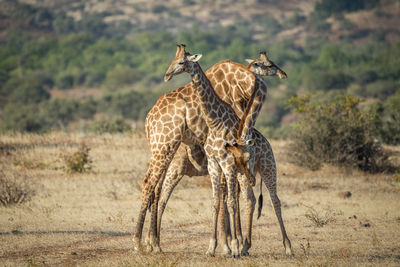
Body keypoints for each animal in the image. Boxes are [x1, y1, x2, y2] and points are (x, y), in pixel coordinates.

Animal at [144, 51, 288, 255]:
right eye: (269, 64)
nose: (283, 73)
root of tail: (148, 120)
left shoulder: (232, 168)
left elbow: (228, 199)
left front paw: (230, 243)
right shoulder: (230, 166)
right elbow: (231, 200)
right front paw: (231, 245)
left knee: (156, 191)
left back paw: (152, 243)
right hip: (169, 157)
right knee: (156, 191)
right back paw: (148, 243)